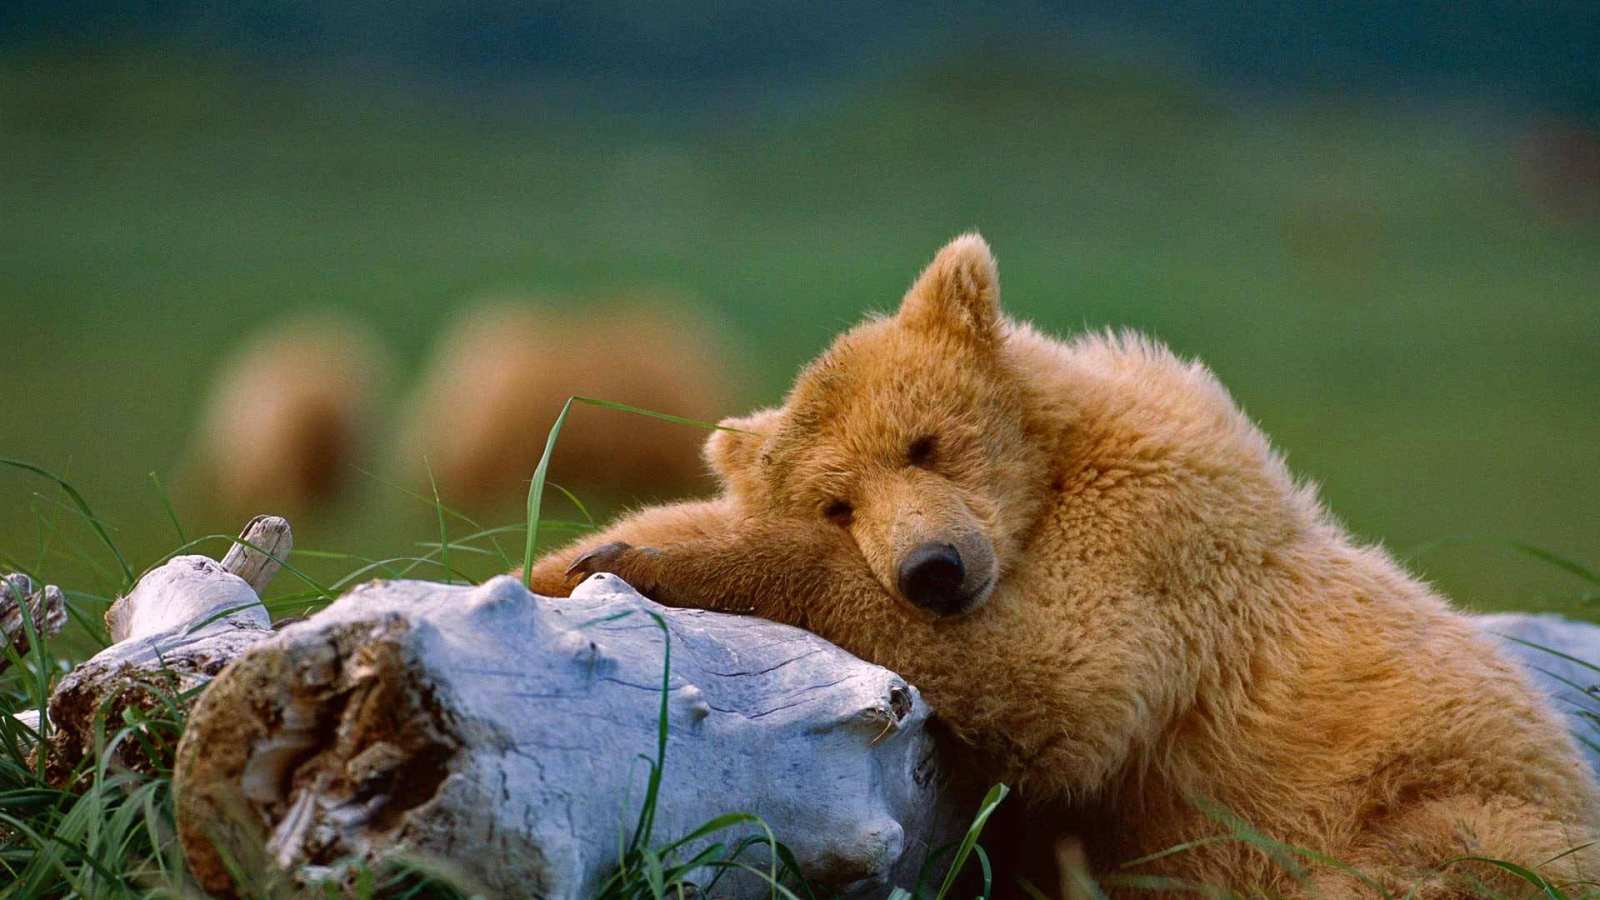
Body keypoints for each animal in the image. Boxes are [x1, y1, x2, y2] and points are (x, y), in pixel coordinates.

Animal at [526, 234, 1600, 897]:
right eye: (839, 501)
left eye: (924, 442)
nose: (932, 569)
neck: (1055, 468)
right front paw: (577, 554)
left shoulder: (1159, 532)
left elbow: (1059, 673)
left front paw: (654, 562)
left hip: (1447, 806)